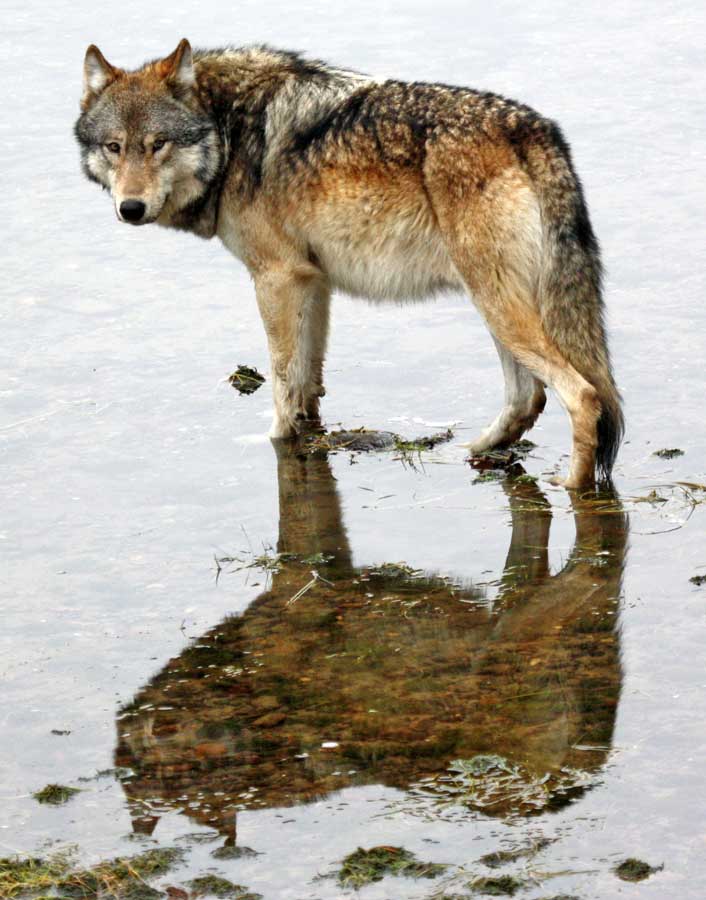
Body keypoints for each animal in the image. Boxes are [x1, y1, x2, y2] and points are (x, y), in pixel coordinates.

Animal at [73, 38, 620, 488]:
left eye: (157, 144)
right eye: (114, 147)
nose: (130, 208)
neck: (229, 131)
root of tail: (536, 131)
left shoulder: (275, 278)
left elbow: (282, 379)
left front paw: (272, 440)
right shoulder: (313, 281)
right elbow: (307, 381)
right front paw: (306, 432)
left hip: (497, 305)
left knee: (583, 395)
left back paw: (574, 487)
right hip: (496, 305)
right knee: (530, 397)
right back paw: (476, 449)